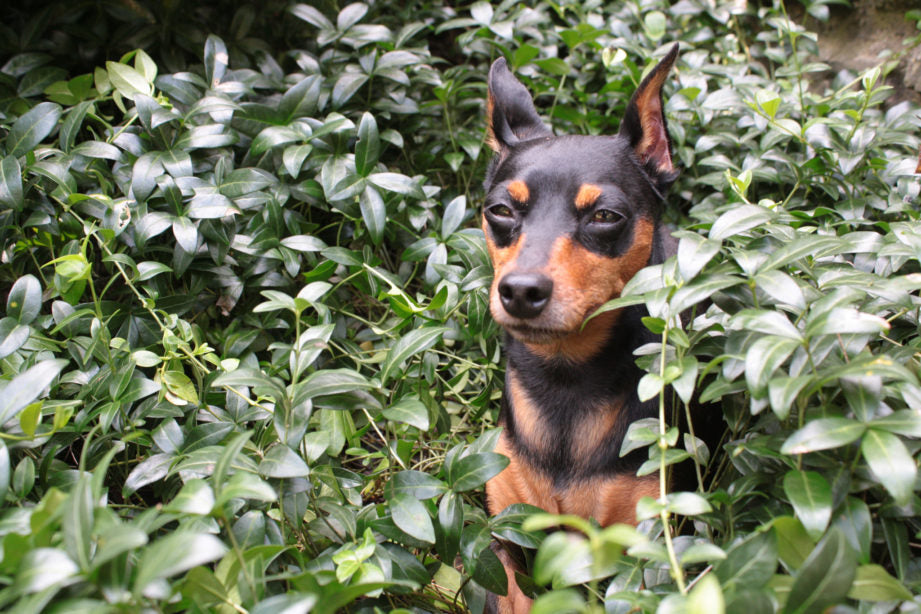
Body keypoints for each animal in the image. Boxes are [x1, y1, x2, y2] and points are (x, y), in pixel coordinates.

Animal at [482, 44, 684, 614]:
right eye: (499, 210)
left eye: (605, 215)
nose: (520, 290)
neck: (565, 377)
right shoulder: (508, 538)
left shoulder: (640, 556)